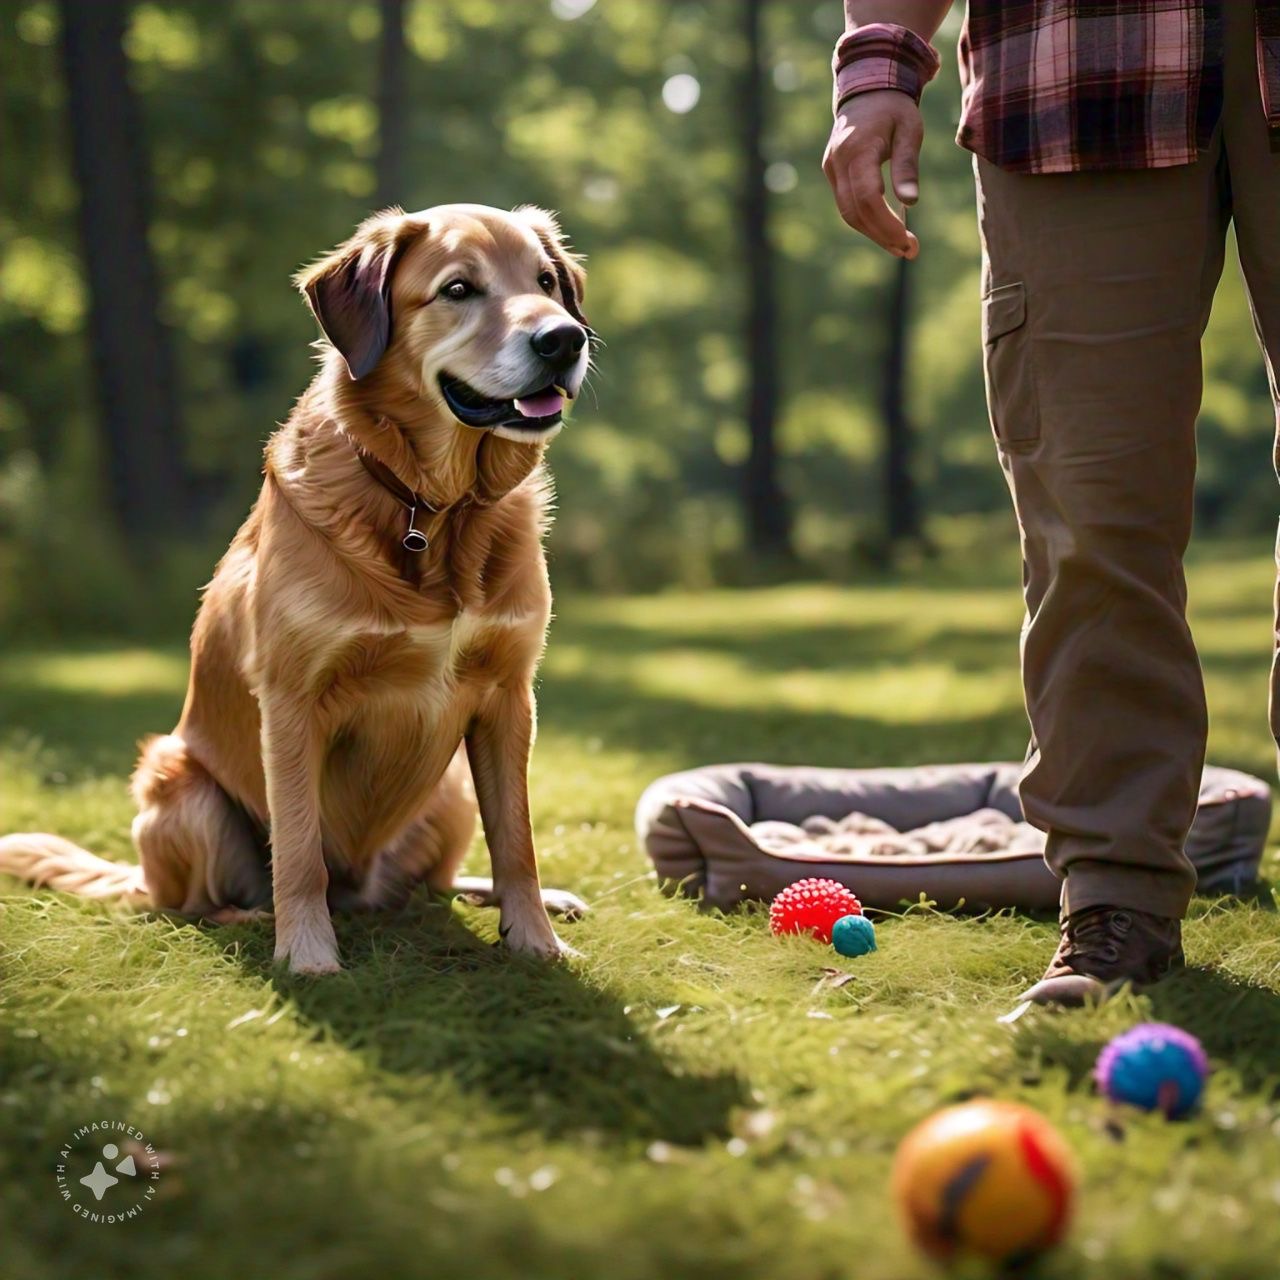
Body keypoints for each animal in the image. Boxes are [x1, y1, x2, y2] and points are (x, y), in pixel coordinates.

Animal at [0, 204, 588, 972]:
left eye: (546, 282)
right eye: (459, 289)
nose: (566, 338)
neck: (431, 508)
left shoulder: (508, 696)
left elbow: (517, 841)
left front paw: (536, 943)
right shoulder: (292, 701)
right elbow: (300, 848)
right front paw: (308, 956)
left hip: (452, 789)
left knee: (434, 885)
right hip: (180, 786)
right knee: (192, 907)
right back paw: (252, 920)